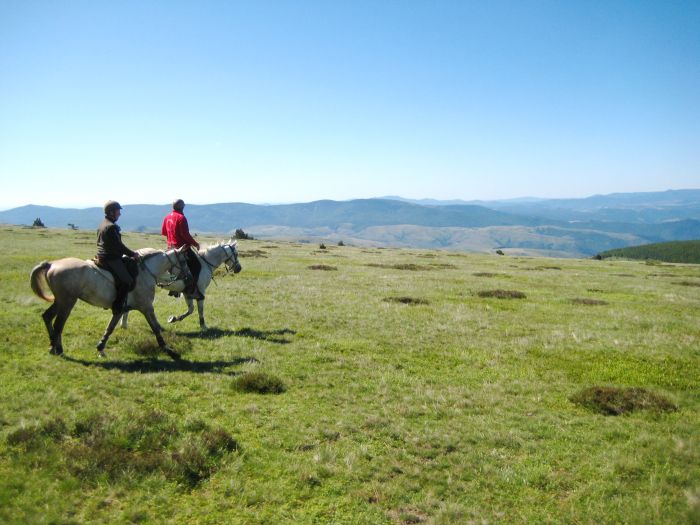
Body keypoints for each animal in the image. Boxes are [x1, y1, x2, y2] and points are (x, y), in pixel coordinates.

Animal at [30, 248, 190, 358]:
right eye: (183, 261)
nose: (188, 276)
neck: (146, 272)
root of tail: (51, 264)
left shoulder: (120, 309)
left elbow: (110, 328)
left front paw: (101, 347)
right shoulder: (147, 307)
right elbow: (155, 327)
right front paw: (167, 349)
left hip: (60, 301)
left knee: (47, 316)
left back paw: (53, 346)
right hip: (67, 301)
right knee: (59, 324)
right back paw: (57, 348)